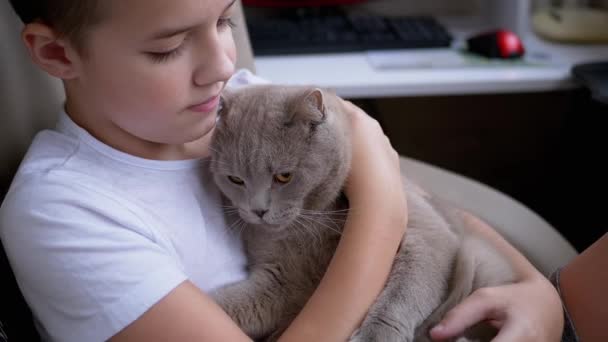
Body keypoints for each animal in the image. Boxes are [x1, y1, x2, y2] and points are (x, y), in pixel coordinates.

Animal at [209, 84, 512, 340]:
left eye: (284, 176)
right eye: (235, 180)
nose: (258, 209)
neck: (312, 222)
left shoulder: (428, 233)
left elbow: (404, 291)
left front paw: (375, 336)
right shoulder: (283, 280)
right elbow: (236, 304)